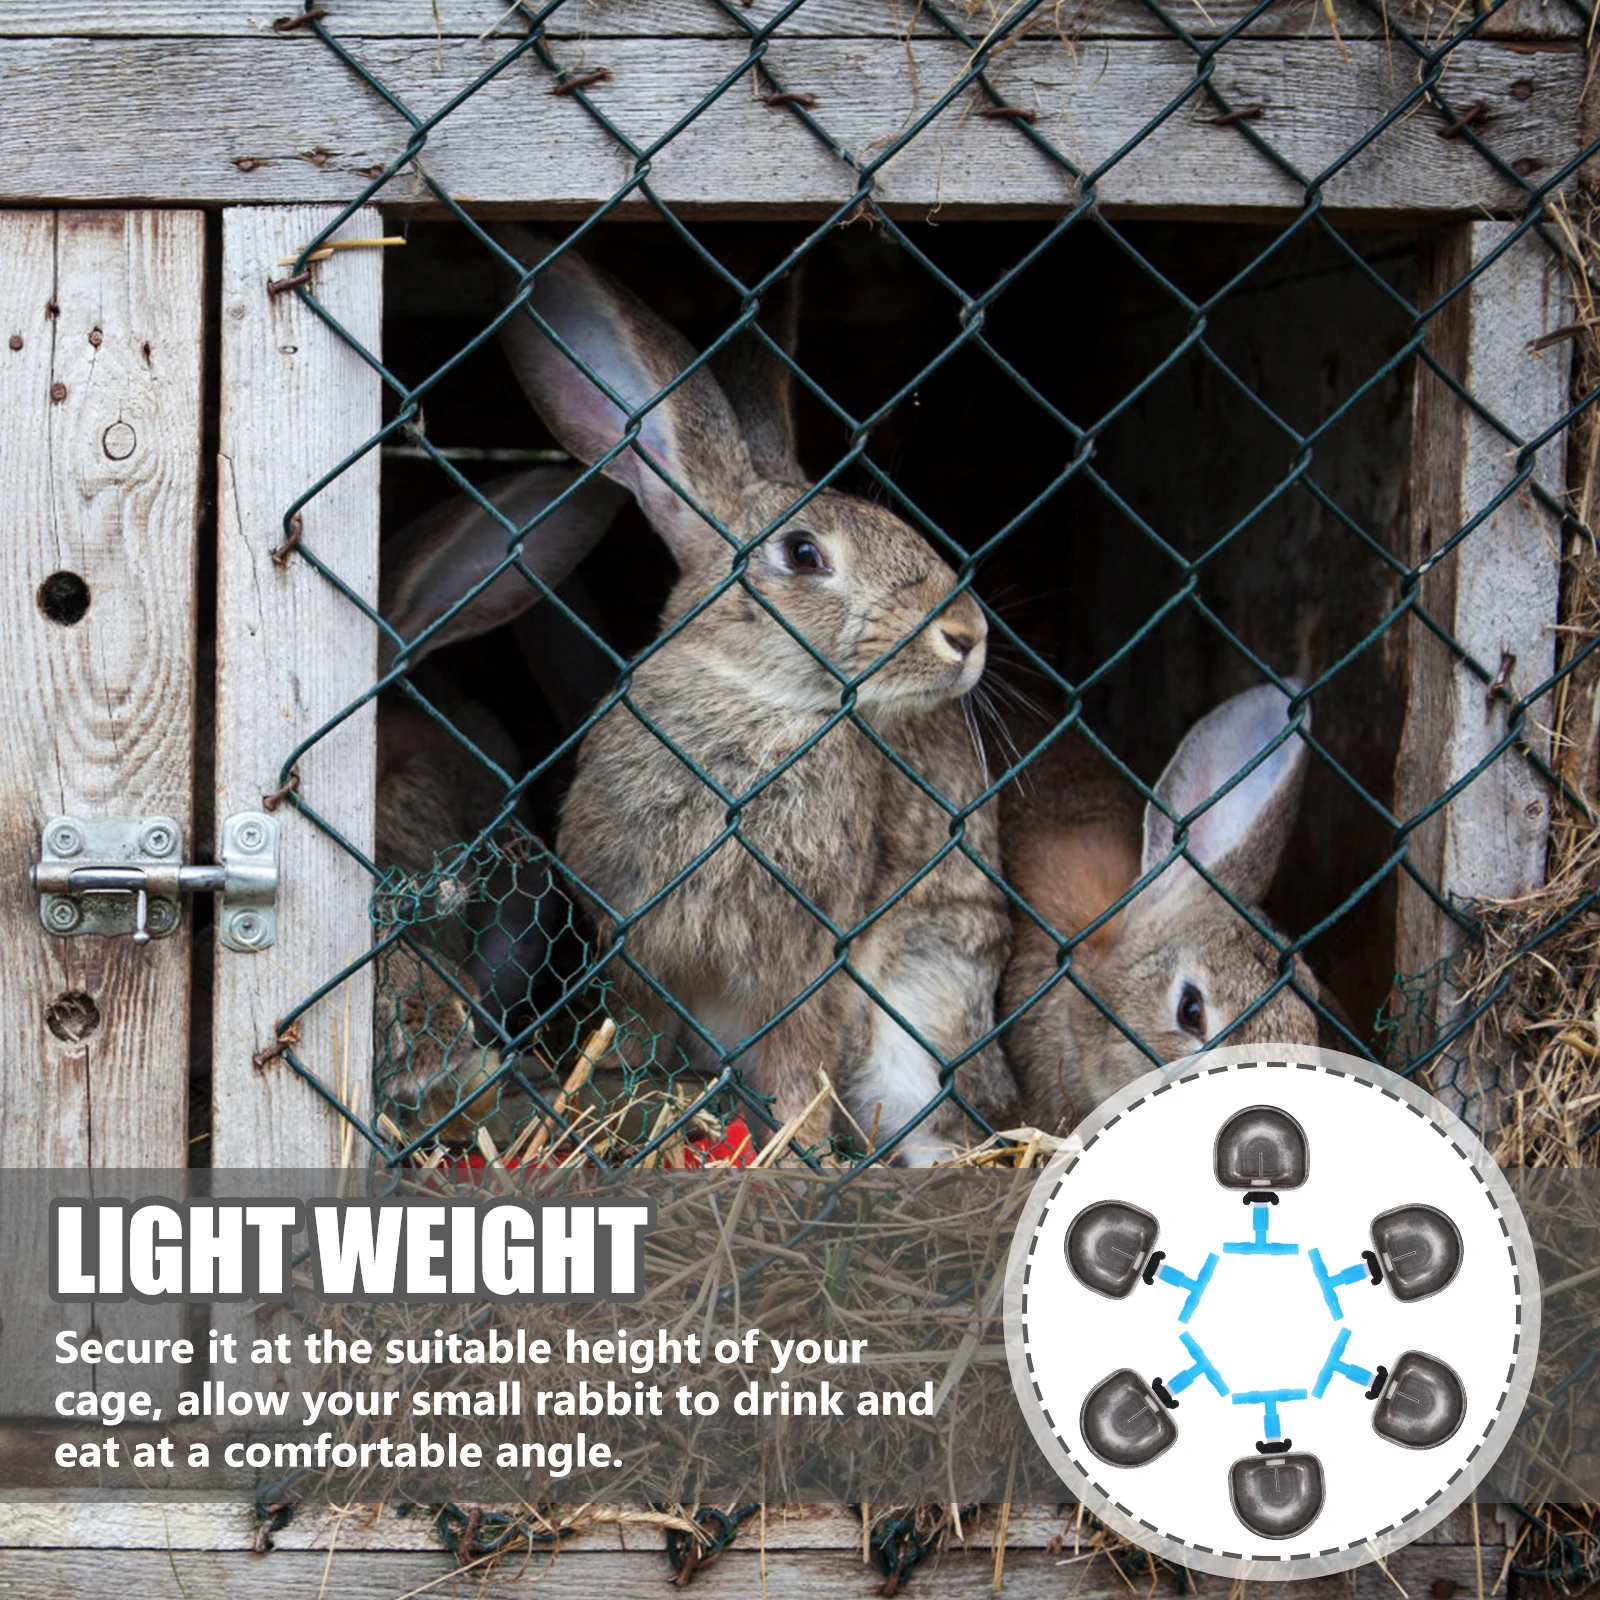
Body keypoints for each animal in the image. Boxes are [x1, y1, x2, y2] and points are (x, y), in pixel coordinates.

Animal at [485, 225, 1020, 1163]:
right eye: (803, 554)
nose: (966, 635)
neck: (759, 704)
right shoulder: (637, 947)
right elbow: (640, 1032)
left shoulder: (811, 960)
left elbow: (801, 1057)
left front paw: (793, 1149)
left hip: (926, 1009)